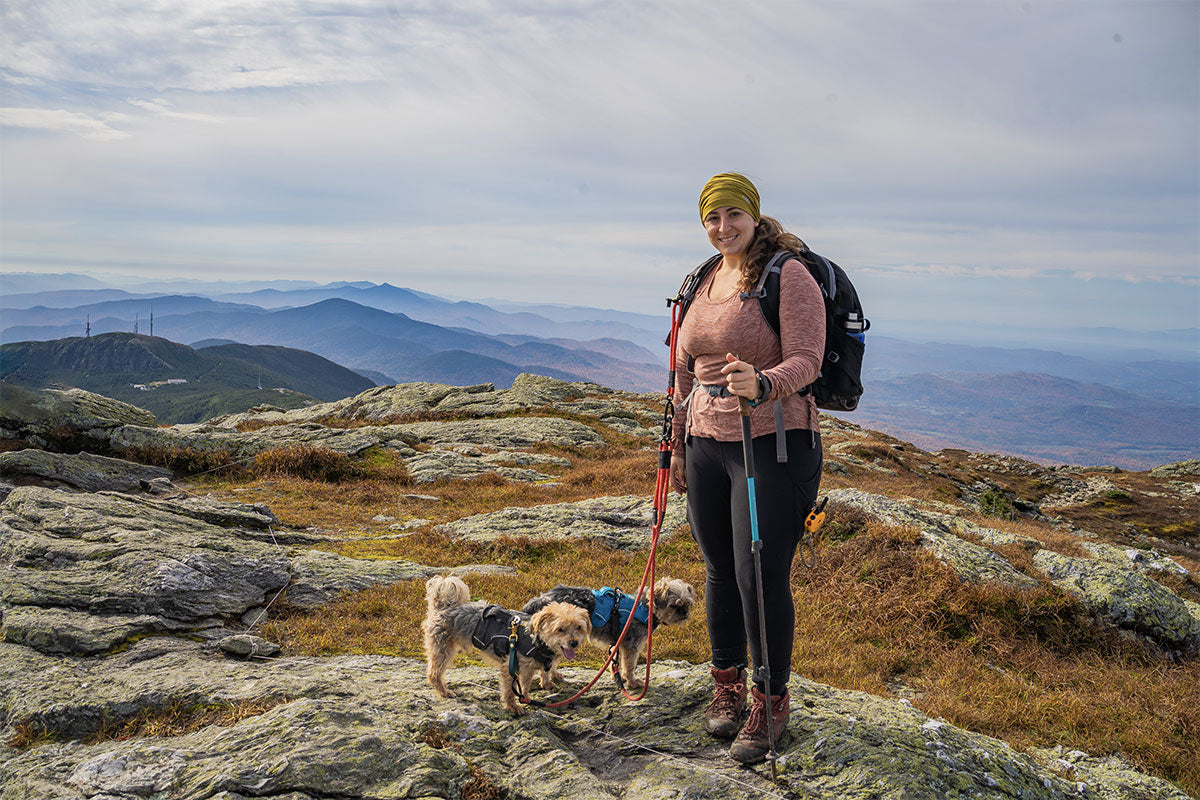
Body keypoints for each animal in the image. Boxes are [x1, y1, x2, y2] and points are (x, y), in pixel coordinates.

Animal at [422, 575, 590, 714]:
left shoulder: (528, 669)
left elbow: (526, 685)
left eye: (578, 627)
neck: (536, 640)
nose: (574, 643)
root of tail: (444, 606)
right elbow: (510, 691)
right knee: (433, 673)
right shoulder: (510, 667)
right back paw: (444, 692)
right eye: (560, 629)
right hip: (442, 648)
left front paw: (526, 698)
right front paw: (513, 707)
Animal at [523, 575, 696, 695]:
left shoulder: (620, 643)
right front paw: (632, 681)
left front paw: (620, 678)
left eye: (687, 604)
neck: (645, 607)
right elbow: (630, 665)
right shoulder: (631, 646)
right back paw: (547, 682)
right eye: (674, 605)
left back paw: (554, 674)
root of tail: (540, 600)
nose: (684, 612)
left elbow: (618, 662)